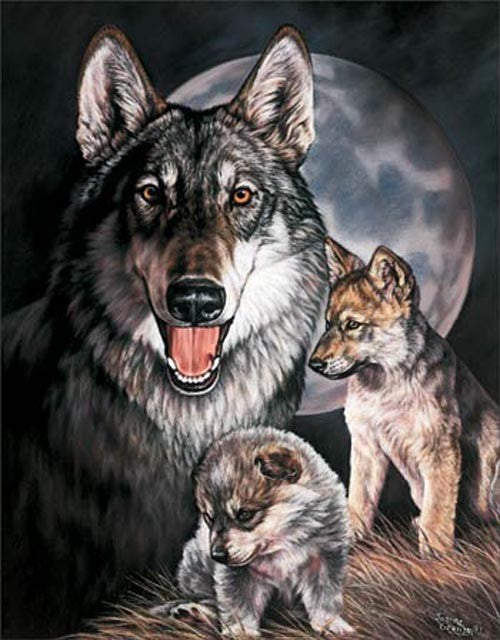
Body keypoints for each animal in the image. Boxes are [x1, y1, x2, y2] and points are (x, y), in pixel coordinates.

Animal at [152, 427, 352, 637]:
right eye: (209, 517)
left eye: (245, 514)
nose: (217, 555)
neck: (285, 540)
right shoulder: (237, 574)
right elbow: (238, 604)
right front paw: (241, 633)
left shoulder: (325, 559)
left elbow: (325, 596)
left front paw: (330, 624)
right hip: (194, 565)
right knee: (208, 599)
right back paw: (195, 613)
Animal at [309, 238, 499, 555]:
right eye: (328, 324)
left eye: (352, 325)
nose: (314, 364)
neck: (385, 387)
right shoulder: (366, 446)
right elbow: (359, 501)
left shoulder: (440, 449)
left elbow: (438, 510)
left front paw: (435, 554)